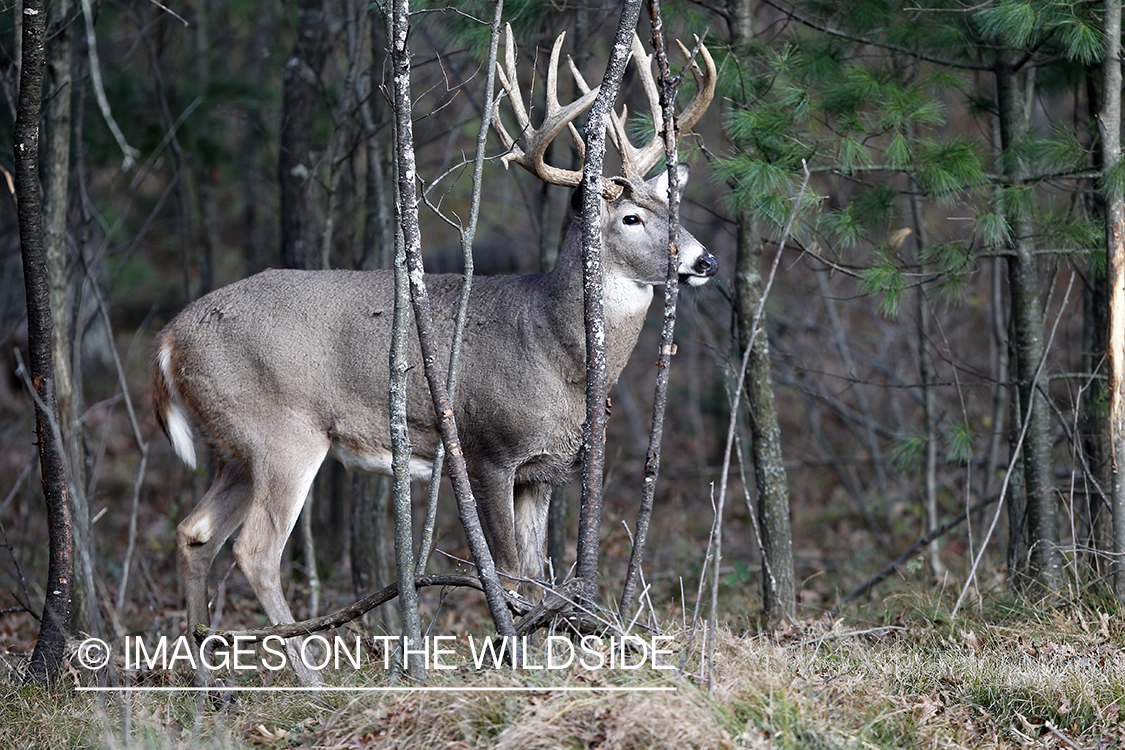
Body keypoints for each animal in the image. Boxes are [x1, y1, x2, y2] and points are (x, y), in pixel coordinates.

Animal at [151, 26, 711, 683]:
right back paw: (309, 675)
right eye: (630, 217)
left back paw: (208, 680)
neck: (555, 348)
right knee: (254, 550)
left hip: (233, 446)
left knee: (195, 532)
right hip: (280, 431)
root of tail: (169, 338)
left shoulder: (542, 470)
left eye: (674, 209)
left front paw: (541, 655)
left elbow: (539, 577)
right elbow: (509, 572)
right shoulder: (489, 449)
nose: (704, 260)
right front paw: (513, 656)